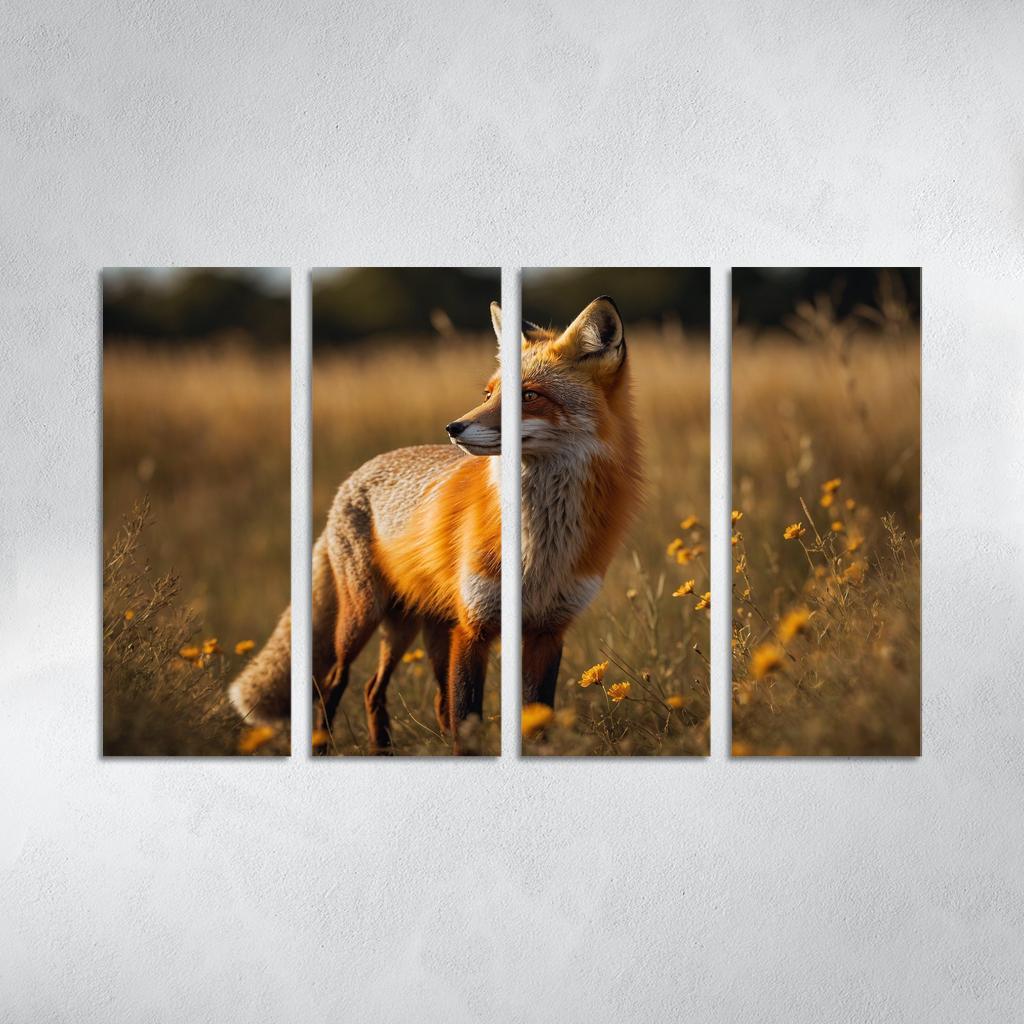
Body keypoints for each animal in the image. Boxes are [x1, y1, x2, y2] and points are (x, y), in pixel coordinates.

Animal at [229, 295, 641, 752]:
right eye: (488, 393)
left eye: (529, 395)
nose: (453, 427)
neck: (539, 547)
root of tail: (352, 478)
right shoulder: (473, 627)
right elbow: (467, 717)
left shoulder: (548, 632)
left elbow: (534, 719)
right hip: (365, 617)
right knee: (335, 683)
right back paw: (325, 746)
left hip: (416, 627)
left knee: (384, 690)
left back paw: (384, 749)